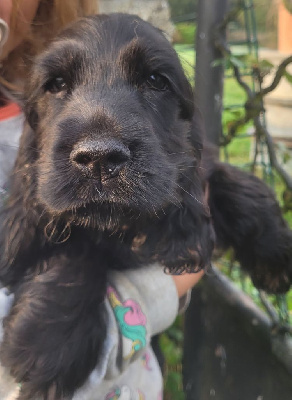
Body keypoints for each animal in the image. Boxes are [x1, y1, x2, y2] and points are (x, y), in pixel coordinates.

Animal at [0, 14, 214, 398]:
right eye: (56, 84)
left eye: (155, 80)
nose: (99, 158)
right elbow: (78, 240)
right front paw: (47, 339)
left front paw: (45, 342)